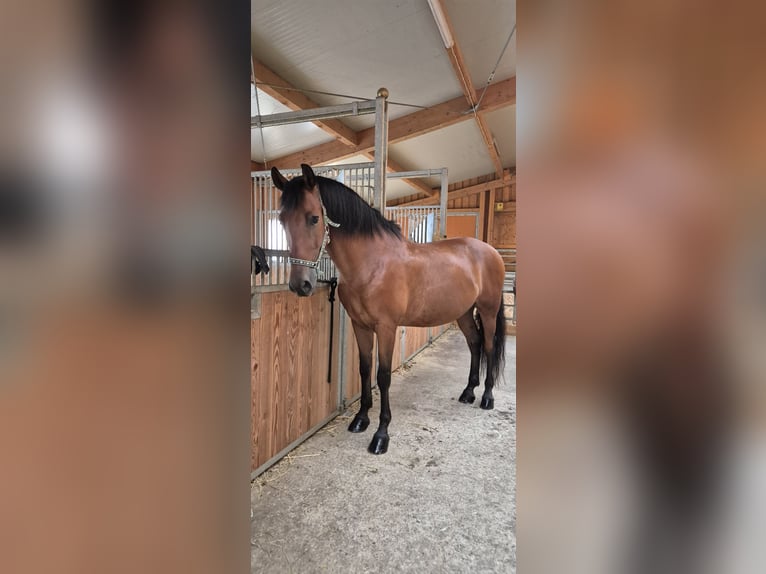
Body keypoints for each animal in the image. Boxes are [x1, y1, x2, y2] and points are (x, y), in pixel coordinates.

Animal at [273, 164, 506, 454]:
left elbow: (382, 376)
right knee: (474, 344)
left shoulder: (386, 328)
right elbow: (364, 369)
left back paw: (486, 397)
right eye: (281, 220)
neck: (372, 264)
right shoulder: (360, 325)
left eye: (314, 218)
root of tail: (492, 252)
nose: (300, 284)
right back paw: (468, 392)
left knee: (488, 347)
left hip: (487, 310)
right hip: (463, 312)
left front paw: (381, 435)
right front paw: (360, 419)